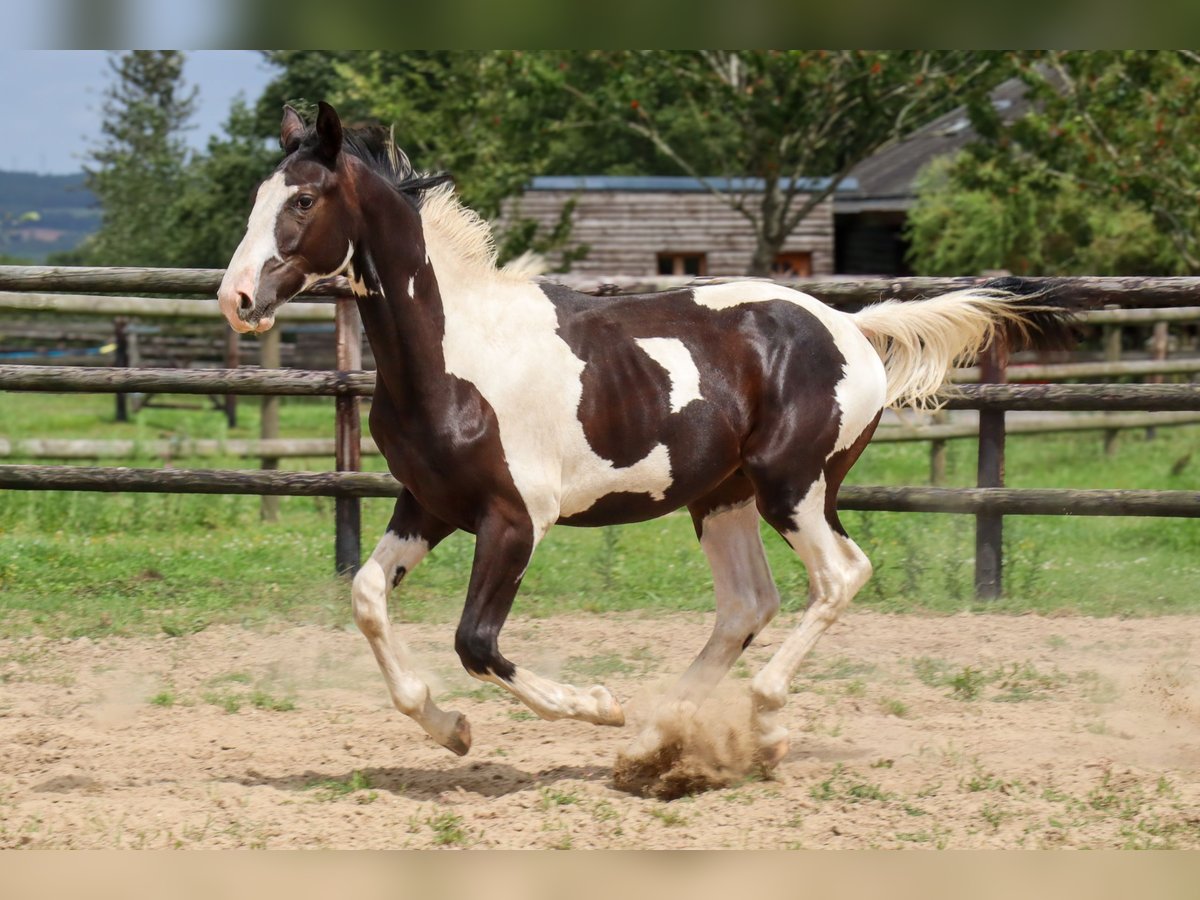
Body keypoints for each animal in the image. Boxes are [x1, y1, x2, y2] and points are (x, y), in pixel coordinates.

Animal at [220, 102, 1075, 782]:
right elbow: (368, 598)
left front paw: (595, 704)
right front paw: (452, 729)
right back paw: (656, 741)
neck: (454, 351)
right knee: (747, 604)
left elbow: (476, 641)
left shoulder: (514, 519)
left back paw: (753, 723)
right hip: (723, 498)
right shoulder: (427, 504)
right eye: (256, 199)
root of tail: (851, 327)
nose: (236, 298)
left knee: (839, 576)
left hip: (792, 487)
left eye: (304, 198)